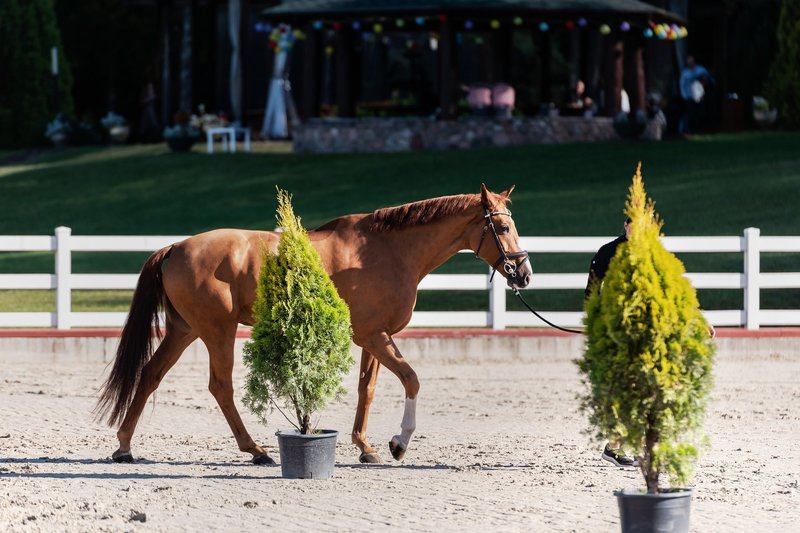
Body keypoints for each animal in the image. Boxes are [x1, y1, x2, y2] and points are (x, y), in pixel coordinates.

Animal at [98, 185, 532, 464]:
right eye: (503, 227)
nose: (524, 274)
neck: (387, 250)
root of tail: (176, 247)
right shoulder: (374, 336)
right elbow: (411, 379)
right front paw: (398, 443)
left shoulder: (374, 337)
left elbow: (367, 390)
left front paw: (365, 446)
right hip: (217, 331)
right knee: (220, 387)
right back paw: (256, 451)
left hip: (184, 330)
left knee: (150, 374)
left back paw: (125, 446)